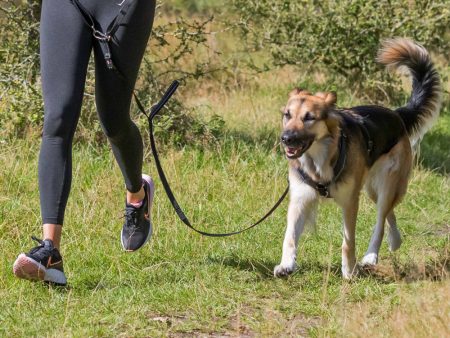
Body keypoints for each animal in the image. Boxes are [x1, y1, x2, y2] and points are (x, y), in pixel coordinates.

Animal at [274, 37, 440, 280]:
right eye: (287, 115)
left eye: (309, 118)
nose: (285, 139)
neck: (320, 159)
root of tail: (396, 115)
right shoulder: (300, 198)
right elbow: (290, 237)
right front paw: (286, 265)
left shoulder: (351, 201)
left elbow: (348, 242)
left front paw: (349, 270)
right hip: (371, 189)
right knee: (389, 212)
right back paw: (395, 240)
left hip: (386, 184)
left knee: (381, 219)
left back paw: (371, 256)